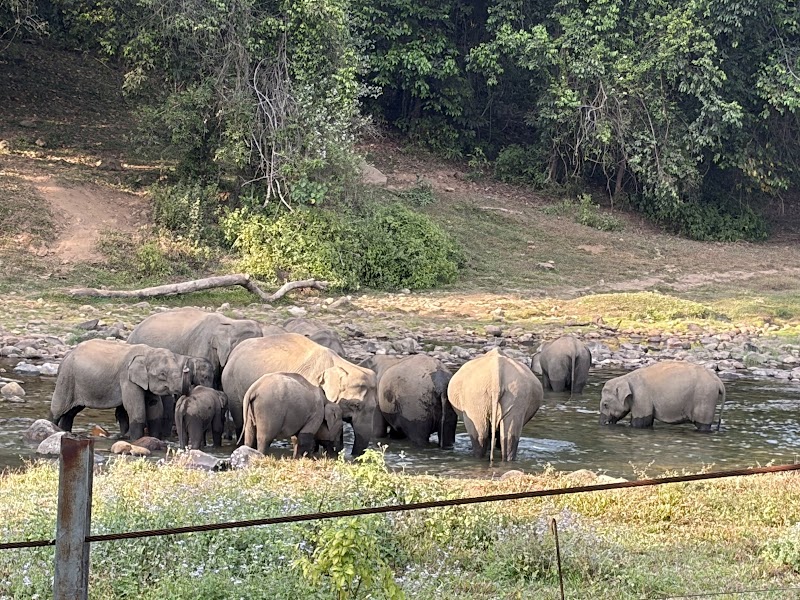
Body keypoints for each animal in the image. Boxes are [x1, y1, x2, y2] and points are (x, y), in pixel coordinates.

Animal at [49, 339, 186, 441]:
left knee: (71, 412)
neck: (148, 351)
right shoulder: (126, 378)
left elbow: (155, 408)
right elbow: (135, 408)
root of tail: (66, 357)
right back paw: (51, 427)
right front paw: (136, 440)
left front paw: (154, 439)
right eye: (162, 374)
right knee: (58, 408)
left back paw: (65, 431)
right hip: (67, 378)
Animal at [222, 333, 377, 456]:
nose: (351, 456)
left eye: (375, 407)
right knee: (241, 421)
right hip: (232, 387)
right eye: (355, 405)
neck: (340, 364)